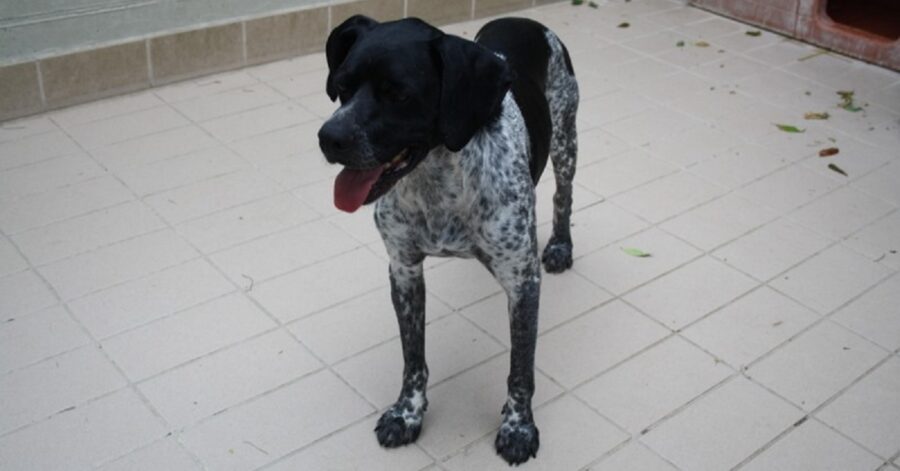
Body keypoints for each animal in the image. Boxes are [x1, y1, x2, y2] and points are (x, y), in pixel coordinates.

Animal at [320, 13, 580, 464]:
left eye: (398, 93)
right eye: (343, 87)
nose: (328, 138)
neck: (438, 181)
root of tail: (523, 18)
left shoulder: (523, 281)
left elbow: (520, 368)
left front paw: (519, 427)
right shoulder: (404, 270)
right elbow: (413, 358)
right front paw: (407, 414)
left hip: (566, 141)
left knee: (563, 195)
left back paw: (561, 245)